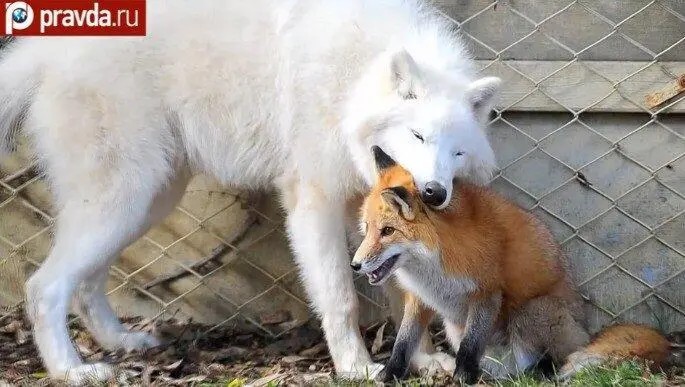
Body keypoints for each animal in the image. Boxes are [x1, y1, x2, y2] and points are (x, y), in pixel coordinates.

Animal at [1, 0, 496, 384]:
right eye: (417, 136)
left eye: (456, 152)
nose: (433, 193)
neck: (355, 77)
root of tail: (47, 50)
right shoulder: (313, 204)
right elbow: (341, 300)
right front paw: (356, 369)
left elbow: (407, 296)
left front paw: (422, 361)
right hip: (121, 201)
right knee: (43, 287)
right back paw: (73, 371)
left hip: (144, 203)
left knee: (86, 283)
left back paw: (122, 342)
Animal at [352, 147, 588, 384]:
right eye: (367, 227)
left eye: (387, 231)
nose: (355, 265)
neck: (433, 267)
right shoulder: (420, 298)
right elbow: (403, 342)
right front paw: (390, 372)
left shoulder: (487, 292)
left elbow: (470, 345)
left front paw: (464, 375)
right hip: (454, 328)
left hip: (532, 312)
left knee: (561, 355)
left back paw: (545, 370)